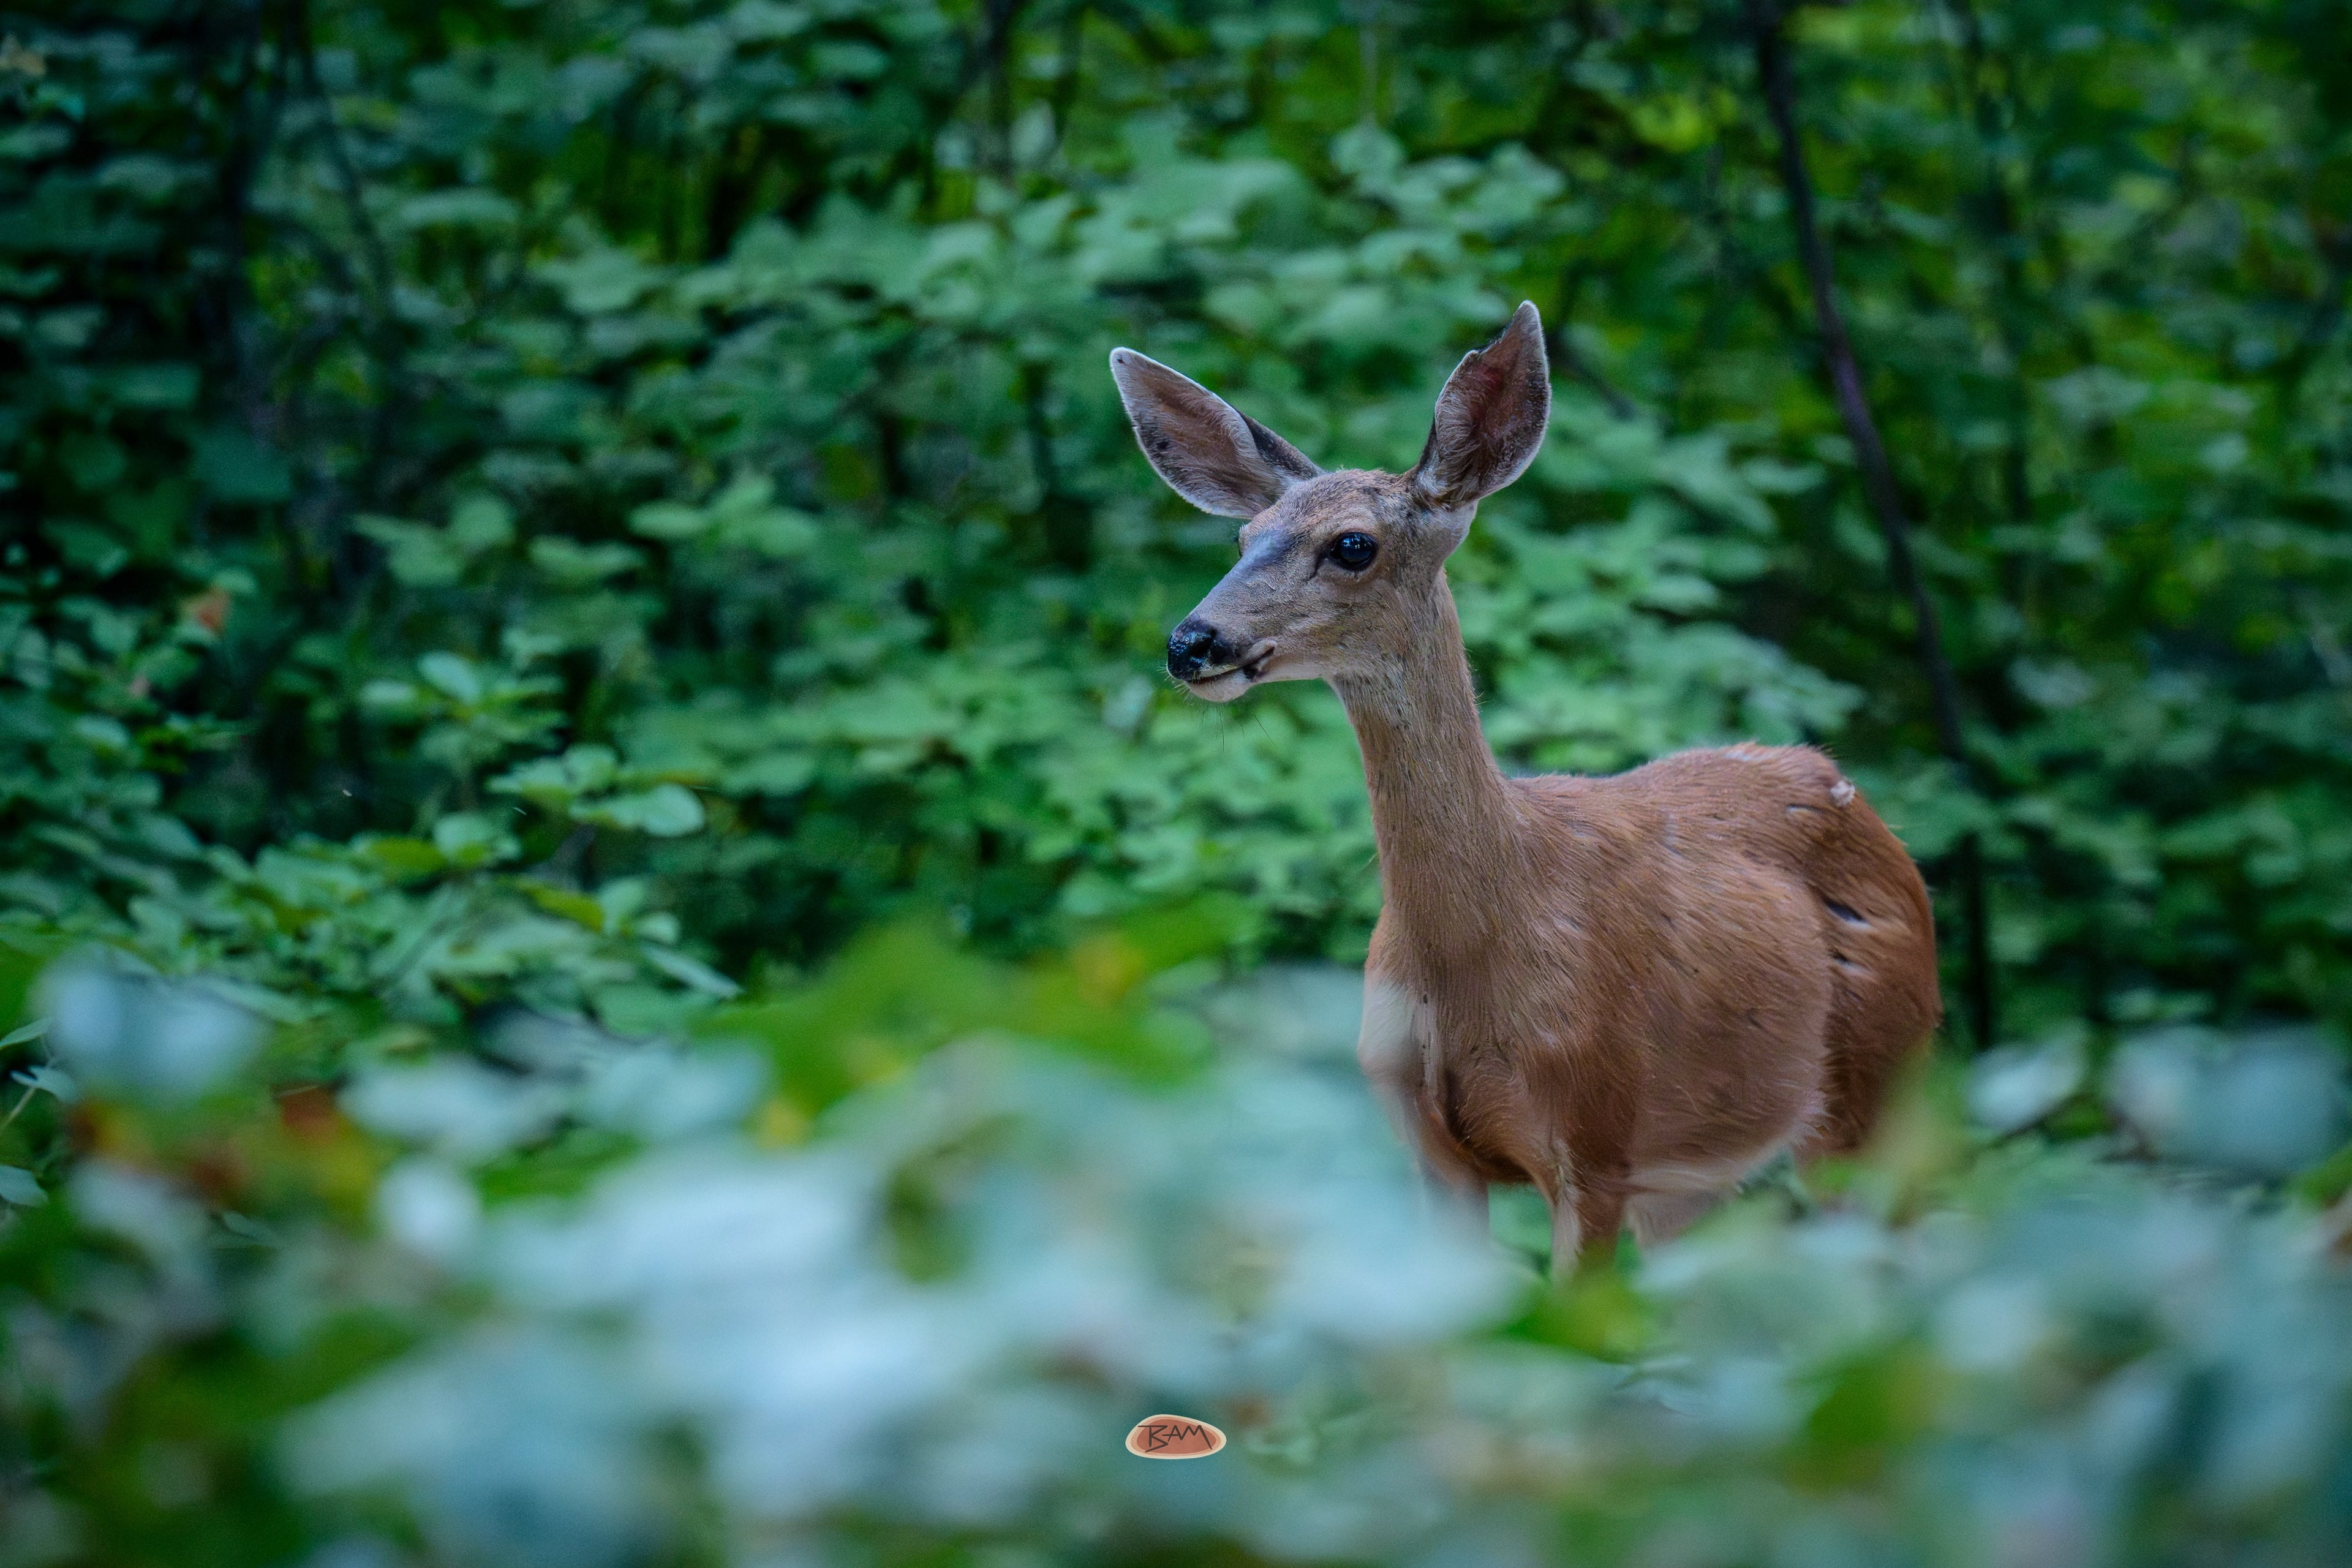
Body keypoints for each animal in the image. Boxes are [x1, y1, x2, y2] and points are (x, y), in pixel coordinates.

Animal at [1110, 302, 1942, 1272]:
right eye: (1243, 538)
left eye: (1353, 544)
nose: (1191, 642)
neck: (1472, 950)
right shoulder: (1429, 1146)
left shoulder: (1596, 1135)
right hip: (1696, 1178)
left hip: (1881, 1087)